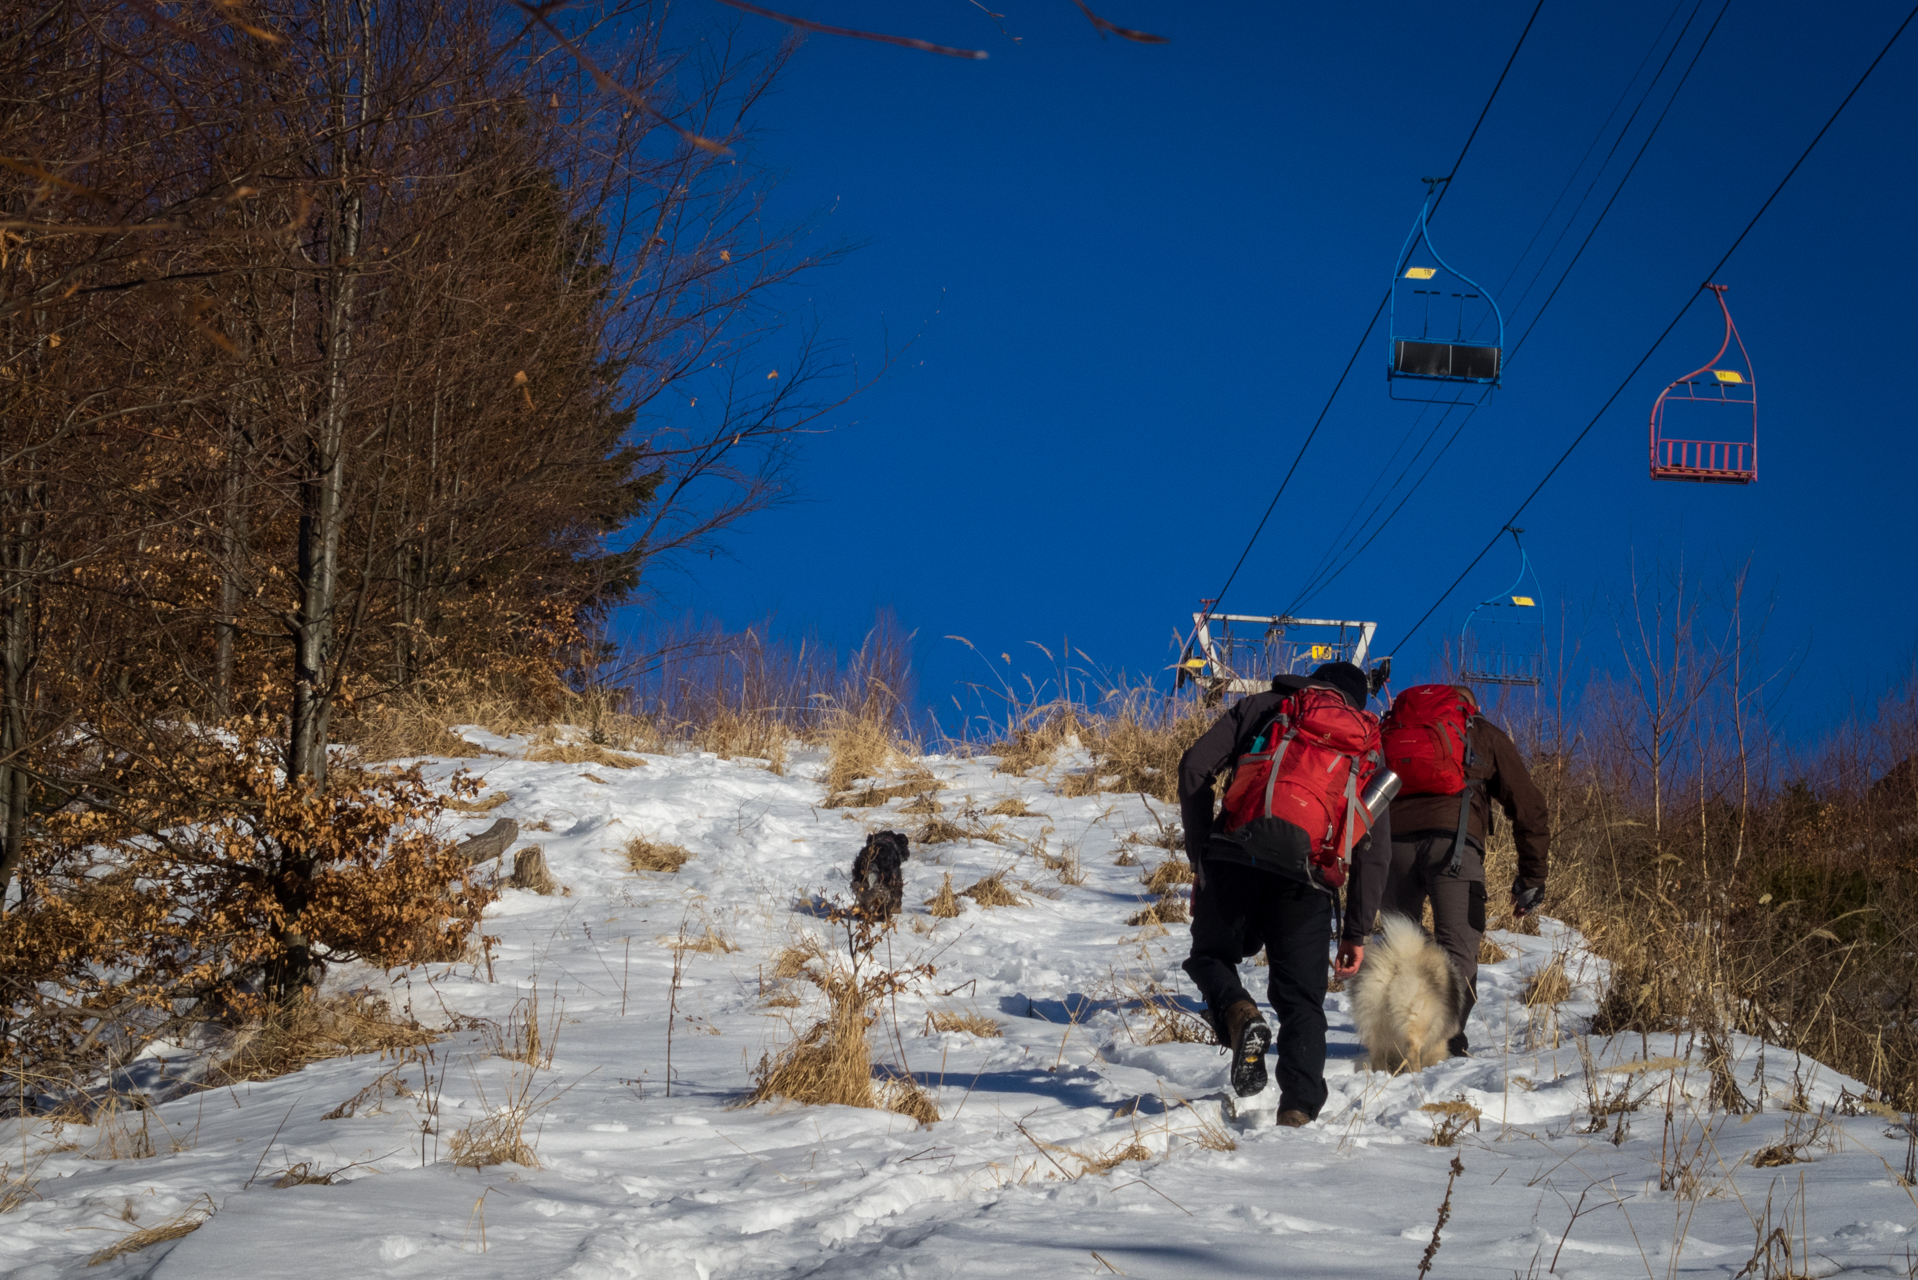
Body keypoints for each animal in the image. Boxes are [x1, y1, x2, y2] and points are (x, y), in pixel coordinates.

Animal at [1350, 909, 1465, 1074]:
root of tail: (1397, 964)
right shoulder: (1438, 1041)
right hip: (1419, 1017)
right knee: (1412, 1047)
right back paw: (1416, 1072)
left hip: (1375, 1023)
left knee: (1377, 1054)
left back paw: (1381, 1074)